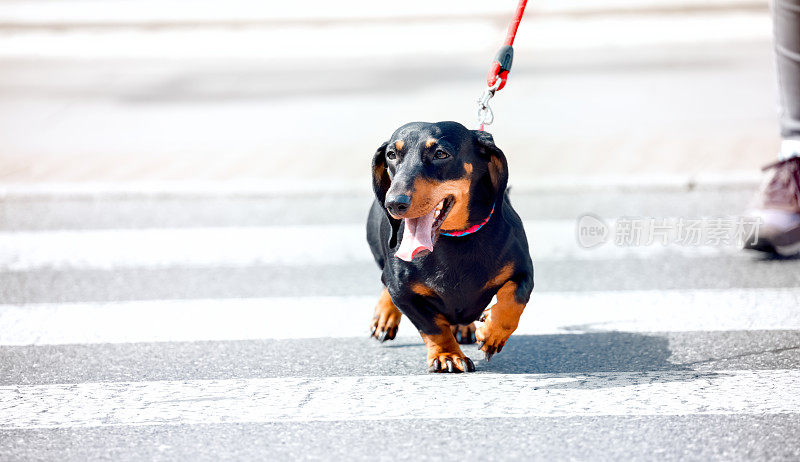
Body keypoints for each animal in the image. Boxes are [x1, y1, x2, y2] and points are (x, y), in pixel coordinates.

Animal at [368, 120, 532, 372]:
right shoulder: (402, 292)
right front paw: (447, 355)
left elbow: (514, 298)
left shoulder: (524, 272)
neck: (454, 239)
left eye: (440, 154)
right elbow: (433, 326)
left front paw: (492, 333)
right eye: (392, 155)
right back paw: (385, 317)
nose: (394, 203)